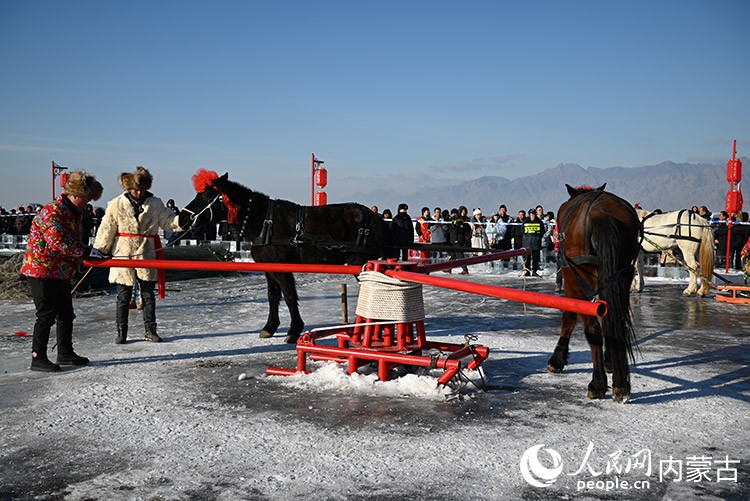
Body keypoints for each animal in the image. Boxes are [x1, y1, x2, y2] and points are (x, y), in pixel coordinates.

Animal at [180, 170, 396, 342]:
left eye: (207, 195)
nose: (181, 219)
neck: (263, 221)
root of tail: (378, 220)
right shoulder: (269, 267)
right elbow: (273, 296)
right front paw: (270, 327)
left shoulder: (281, 266)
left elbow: (289, 295)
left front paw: (294, 330)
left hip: (360, 263)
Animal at [548, 185, 640, 402]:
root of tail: (601, 211)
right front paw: (610, 362)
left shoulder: (571, 280)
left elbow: (569, 316)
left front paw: (557, 359)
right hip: (622, 275)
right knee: (615, 322)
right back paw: (620, 384)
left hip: (579, 277)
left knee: (593, 328)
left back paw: (597, 383)